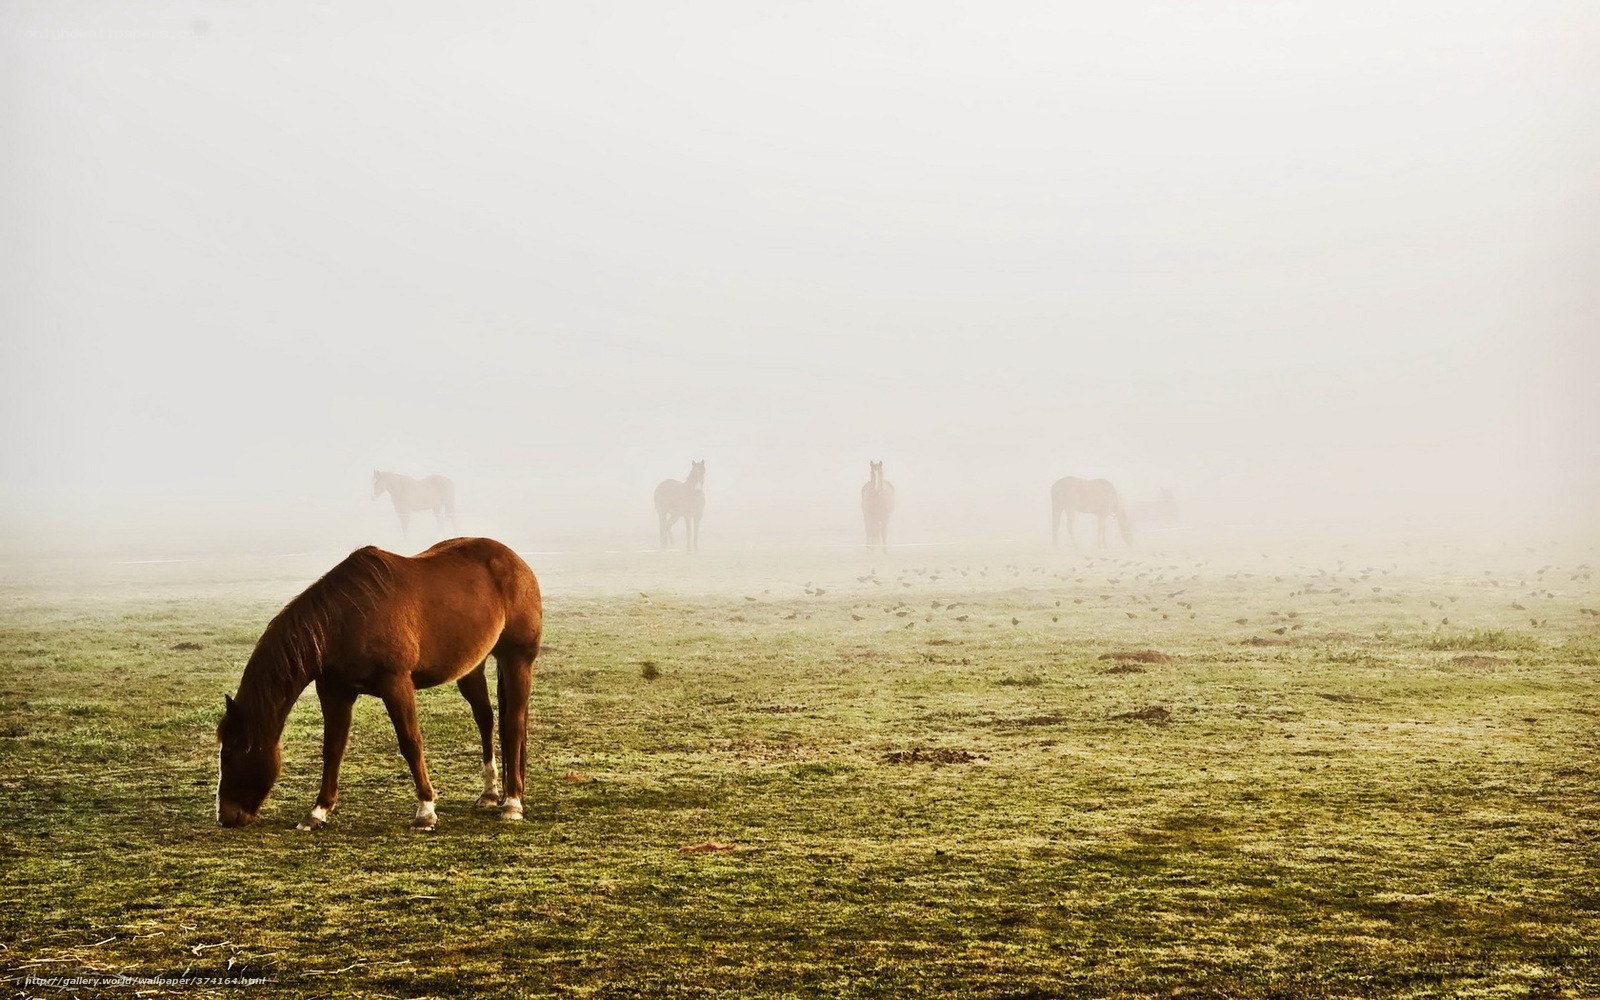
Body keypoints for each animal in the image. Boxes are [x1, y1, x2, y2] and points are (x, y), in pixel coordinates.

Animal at [215, 537, 542, 831]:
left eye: (229, 753)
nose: (224, 817)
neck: (342, 620)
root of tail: (515, 562)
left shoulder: (396, 684)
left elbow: (411, 742)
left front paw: (426, 811)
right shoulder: (334, 692)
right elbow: (332, 749)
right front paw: (317, 812)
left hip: (517, 660)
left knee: (513, 725)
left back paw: (512, 802)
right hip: (472, 667)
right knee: (486, 719)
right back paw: (490, 793)